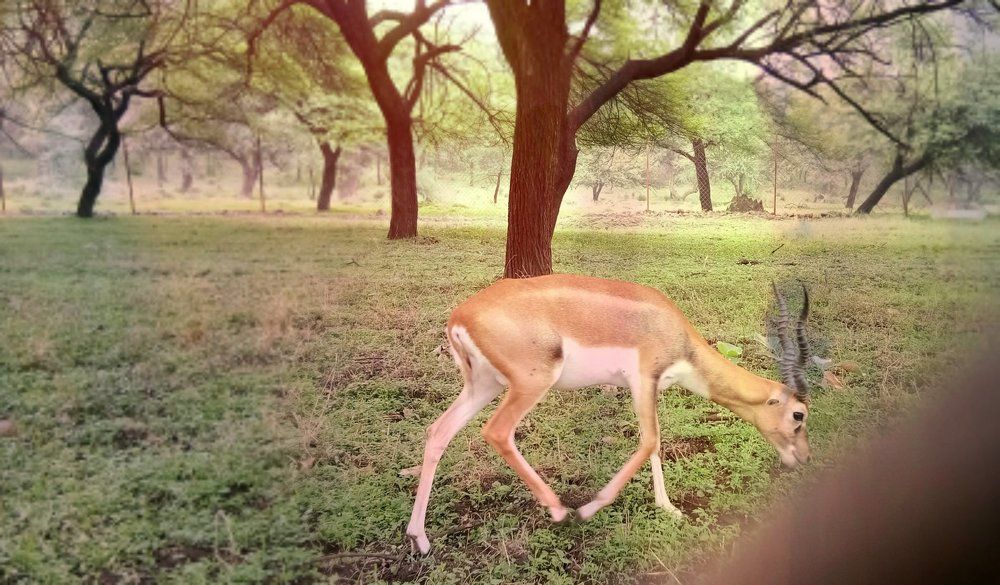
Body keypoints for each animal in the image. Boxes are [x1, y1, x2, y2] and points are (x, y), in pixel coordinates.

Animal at [406, 274, 812, 554]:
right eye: (799, 415)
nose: (804, 458)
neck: (675, 333)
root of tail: (460, 317)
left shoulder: (648, 388)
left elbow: (656, 444)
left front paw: (669, 509)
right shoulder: (643, 379)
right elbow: (648, 441)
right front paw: (589, 509)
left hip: (483, 385)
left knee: (438, 431)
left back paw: (419, 538)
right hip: (530, 384)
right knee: (497, 431)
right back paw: (559, 510)